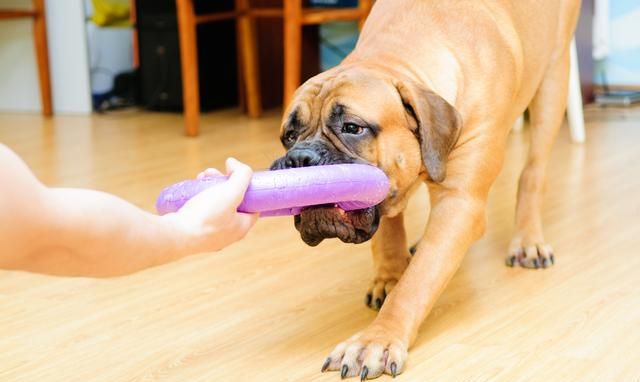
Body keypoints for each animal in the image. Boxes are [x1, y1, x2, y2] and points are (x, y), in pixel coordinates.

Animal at [270, 0, 580, 380]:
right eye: (289, 135)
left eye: (352, 128)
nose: (300, 158)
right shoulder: (390, 190)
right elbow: (389, 233)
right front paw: (390, 275)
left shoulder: (460, 201)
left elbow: (418, 282)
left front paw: (376, 339)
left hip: (554, 78)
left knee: (533, 171)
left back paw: (527, 241)